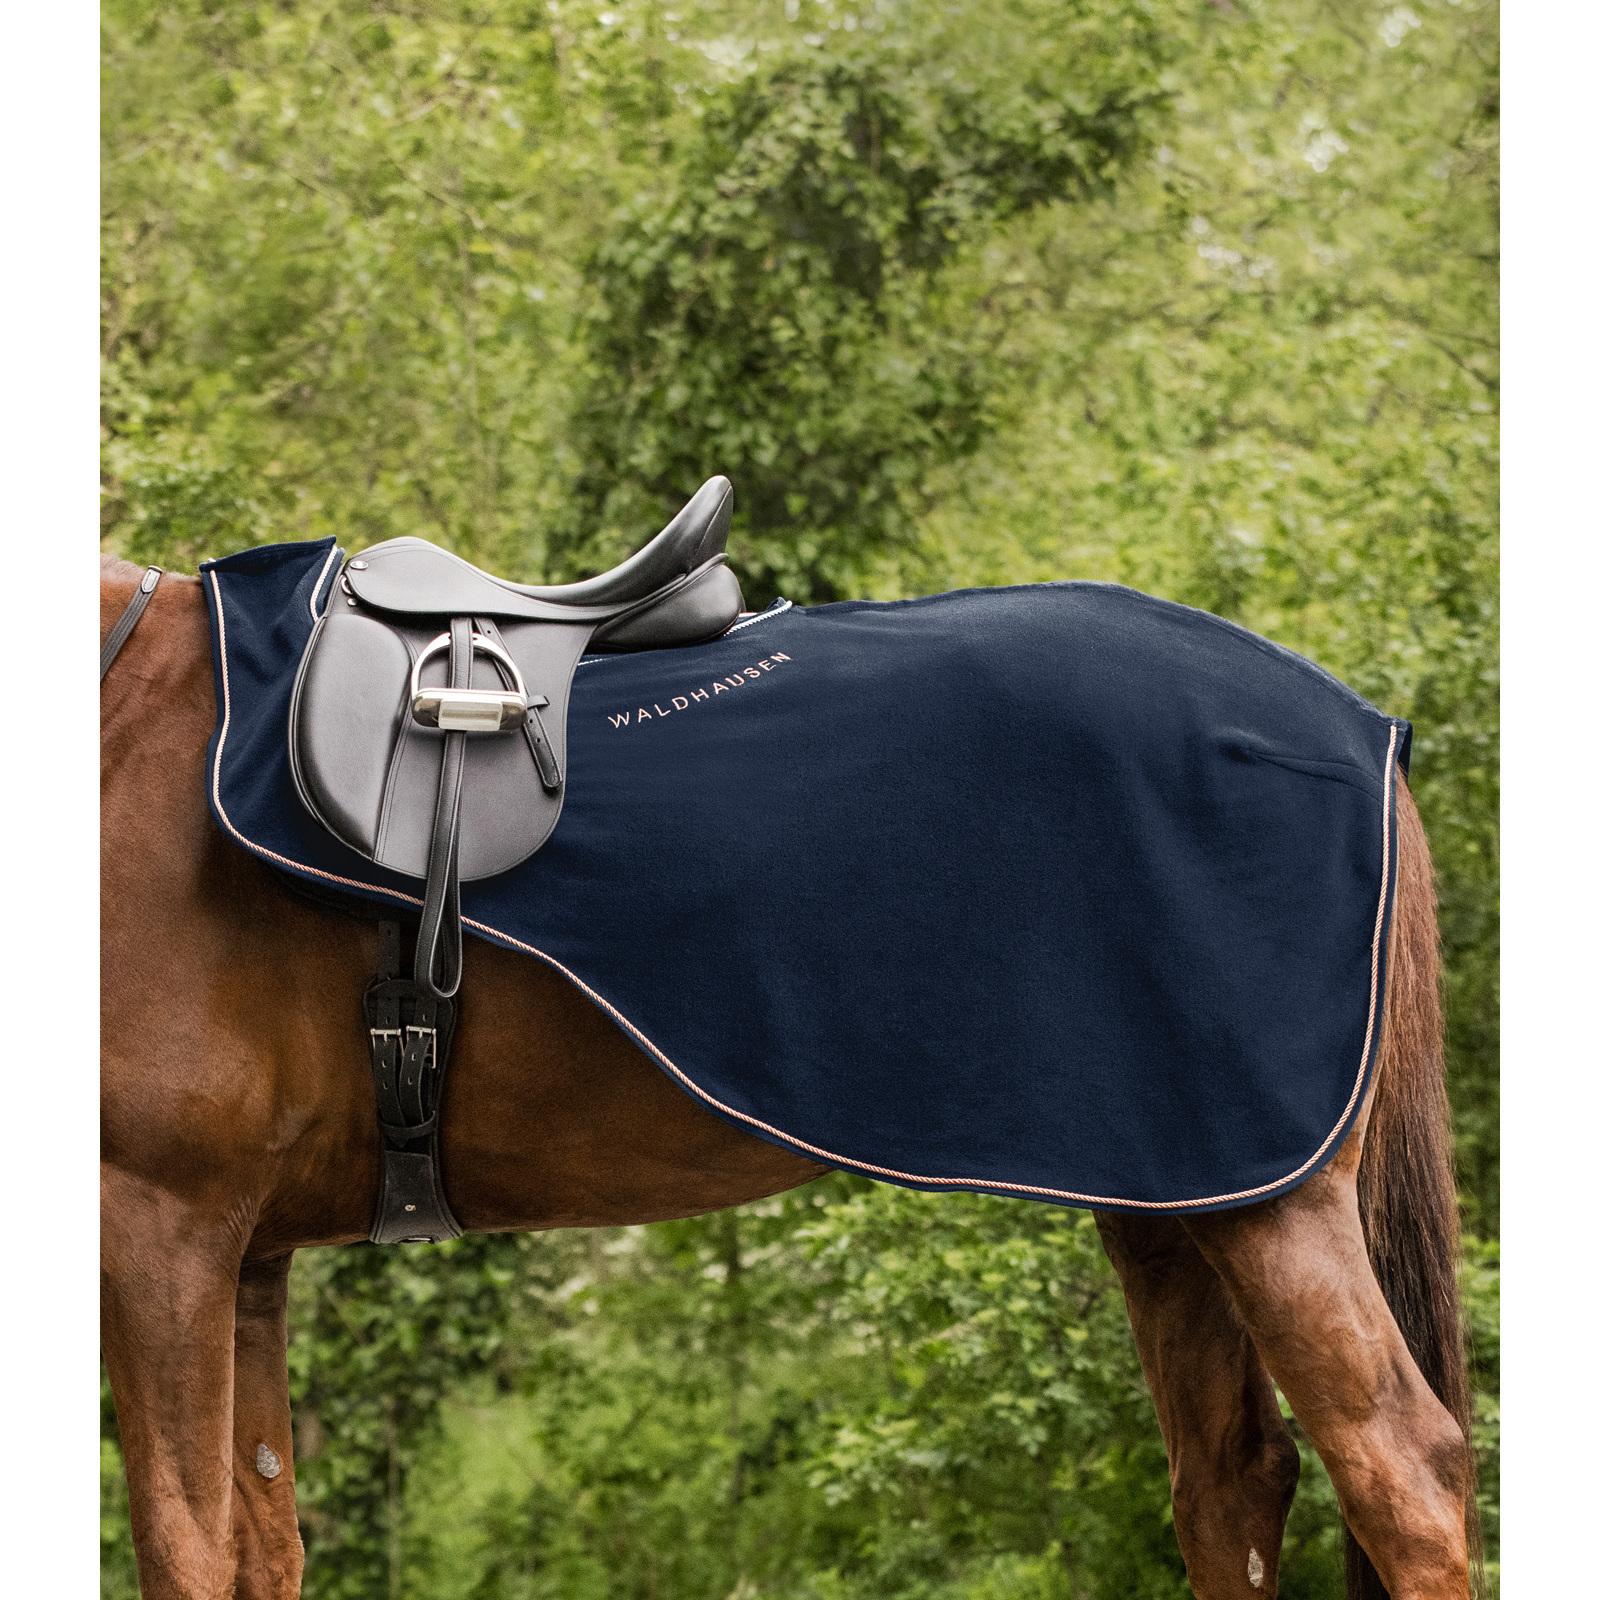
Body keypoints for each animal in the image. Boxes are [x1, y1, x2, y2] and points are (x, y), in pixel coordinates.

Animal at [100, 556, 1475, 1600]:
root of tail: (1358, 730)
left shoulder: (163, 1225)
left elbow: (183, 1548)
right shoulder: (245, 1253)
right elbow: (256, 1546)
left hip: (1275, 1204)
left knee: (1404, 1474)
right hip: (1175, 1198)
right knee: (1231, 1480)